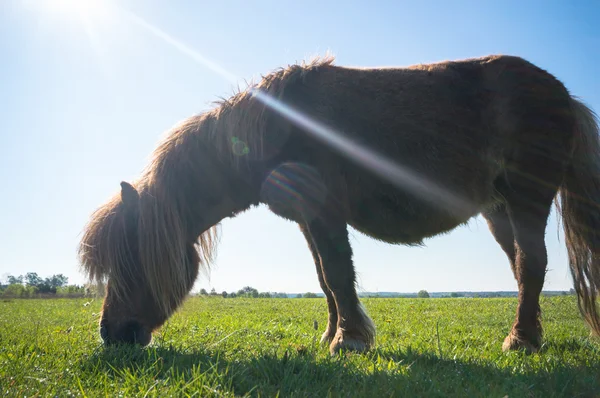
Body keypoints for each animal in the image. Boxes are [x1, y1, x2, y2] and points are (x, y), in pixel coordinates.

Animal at [78, 53, 600, 354]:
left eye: (130, 258)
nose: (110, 334)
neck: (277, 129)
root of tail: (563, 95)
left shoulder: (325, 213)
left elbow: (336, 272)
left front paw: (349, 341)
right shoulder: (308, 220)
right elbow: (325, 280)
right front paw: (333, 335)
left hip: (526, 199)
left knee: (532, 264)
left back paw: (522, 342)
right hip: (498, 211)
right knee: (521, 268)